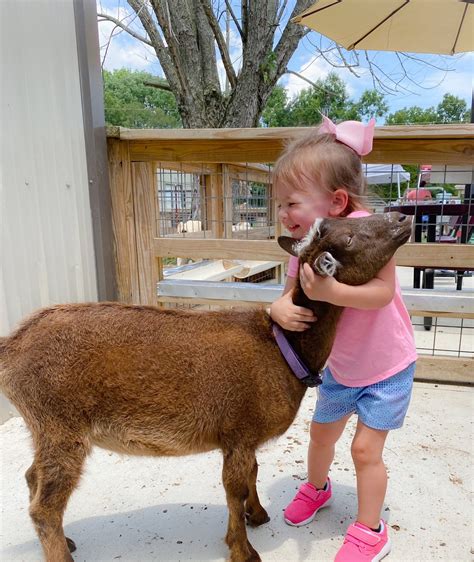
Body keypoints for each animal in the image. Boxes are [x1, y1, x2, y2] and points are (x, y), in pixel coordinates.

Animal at [0, 211, 412, 560]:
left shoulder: (242, 436)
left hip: (45, 428)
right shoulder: (238, 431)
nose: (402, 218)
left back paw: (66, 540)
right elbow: (235, 486)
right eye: (349, 236)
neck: (282, 348)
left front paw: (257, 515)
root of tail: (12, 346)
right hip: (60, 423)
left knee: (32, 477)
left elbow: (252, 474)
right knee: (44, 505)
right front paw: (244, 550)